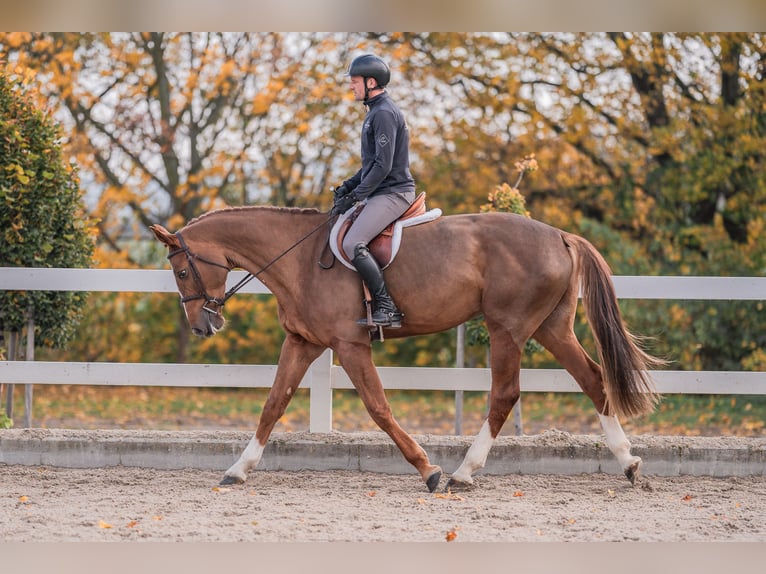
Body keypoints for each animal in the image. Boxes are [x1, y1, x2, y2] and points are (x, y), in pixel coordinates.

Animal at [148, 208, 660, 496]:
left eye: (181, 272)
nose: (203, 325)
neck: (299, 260)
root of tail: (559, 234)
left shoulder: (350, 345)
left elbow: (379, 408)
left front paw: (428, 470)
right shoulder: (303, 341)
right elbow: (273, 404)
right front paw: (238, 470)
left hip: (509, 329)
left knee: (505, 395)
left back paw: (462, 475)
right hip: (552, 328)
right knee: (593, 380)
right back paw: (630, 464)